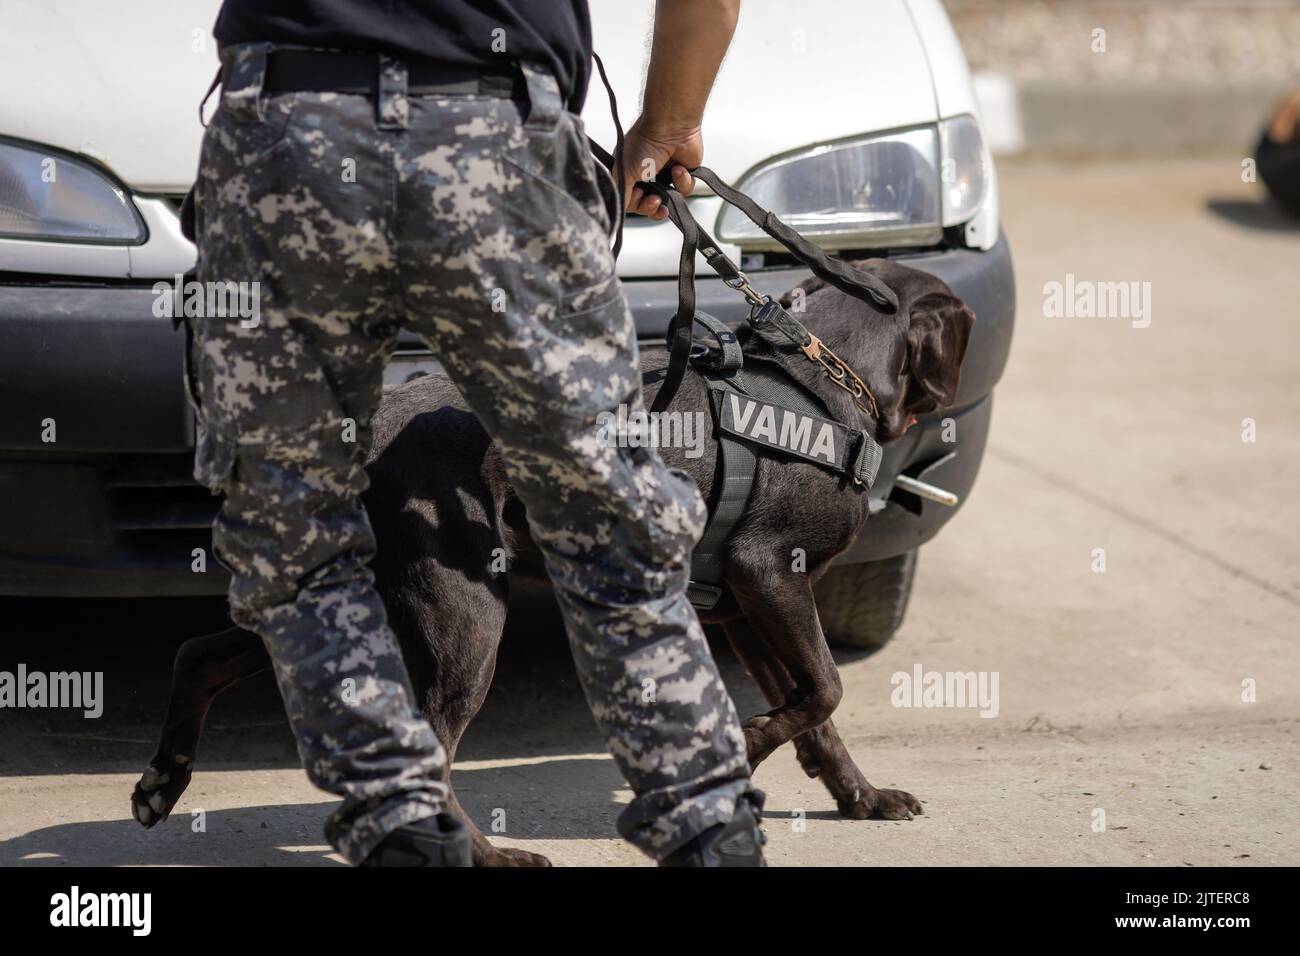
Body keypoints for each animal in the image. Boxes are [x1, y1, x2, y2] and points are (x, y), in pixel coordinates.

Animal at [131, 260, 972, 868]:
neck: (824, 382)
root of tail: (364, 432)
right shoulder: (770, 573)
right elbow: (822, 690)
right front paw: (751, 738)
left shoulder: (742, 605)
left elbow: (817, 715)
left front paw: (860, 798)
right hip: (465, 620)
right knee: (432, 750)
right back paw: (487, 856)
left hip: (353, 587)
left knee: (200, 652)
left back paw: (162, 781)